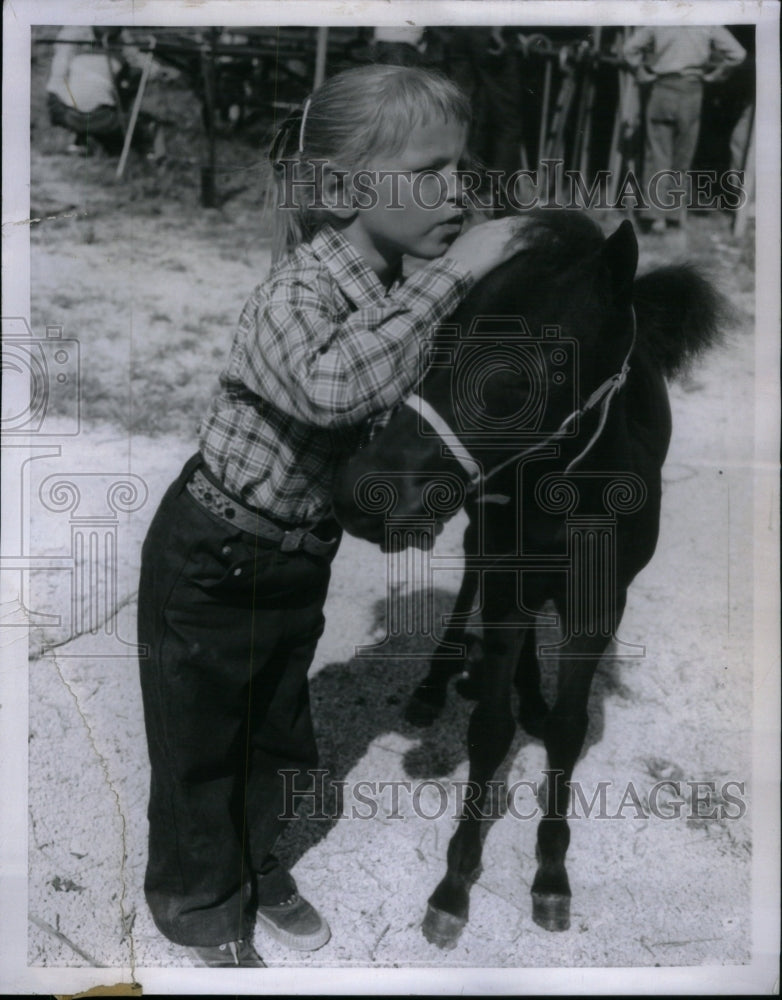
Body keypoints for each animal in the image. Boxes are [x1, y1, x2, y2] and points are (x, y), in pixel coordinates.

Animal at [330, 211, 724, 944]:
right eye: (436, 341)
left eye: (523, 374)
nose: (358, 492)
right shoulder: (506, 575)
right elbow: (489, 728)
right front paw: (455, 883)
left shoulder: (601, 602)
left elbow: (568, 729)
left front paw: (550, 874)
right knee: (470, 585)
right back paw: (441, 680)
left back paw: (528, 689)